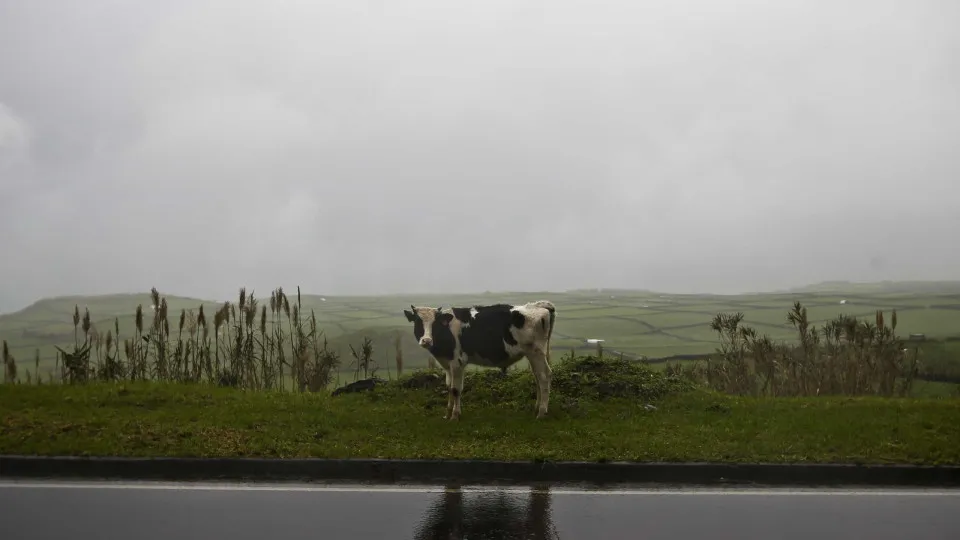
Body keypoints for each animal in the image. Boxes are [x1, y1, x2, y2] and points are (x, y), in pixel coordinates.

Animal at [404, 302, 556, 420]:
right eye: (418, 322)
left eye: (434, 323)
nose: (426, 340)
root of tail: (538, 305)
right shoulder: (448, 364)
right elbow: (449, 387)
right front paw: (447, 413)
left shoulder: (457, 362)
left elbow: (455, 389)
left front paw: (455, 415)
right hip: (532, 355)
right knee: (537, 377)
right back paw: (537, 408)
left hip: (536, 353)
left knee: (544, 377)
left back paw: (542, 412)